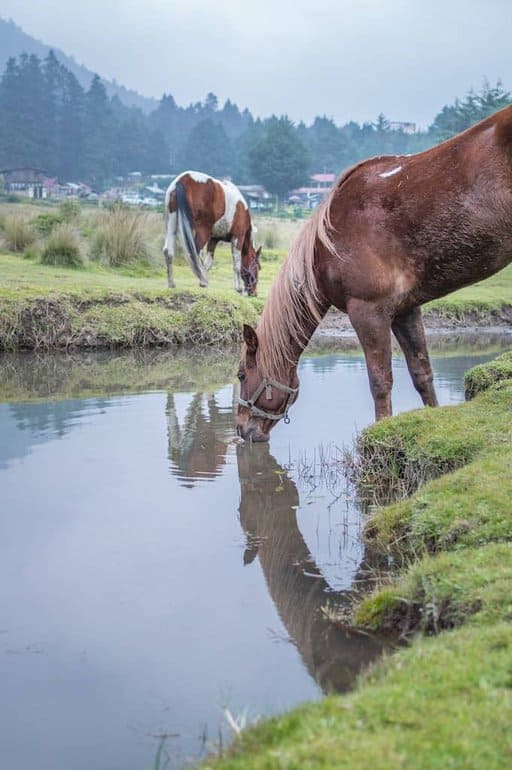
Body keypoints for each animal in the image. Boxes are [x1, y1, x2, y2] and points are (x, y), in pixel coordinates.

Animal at [237, 103, 512, 438]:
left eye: (241, 375)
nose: (241, 429)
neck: (327, 243)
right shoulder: (406, 311)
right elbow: (422, 372)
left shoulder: (368, 311)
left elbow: (380, 381)